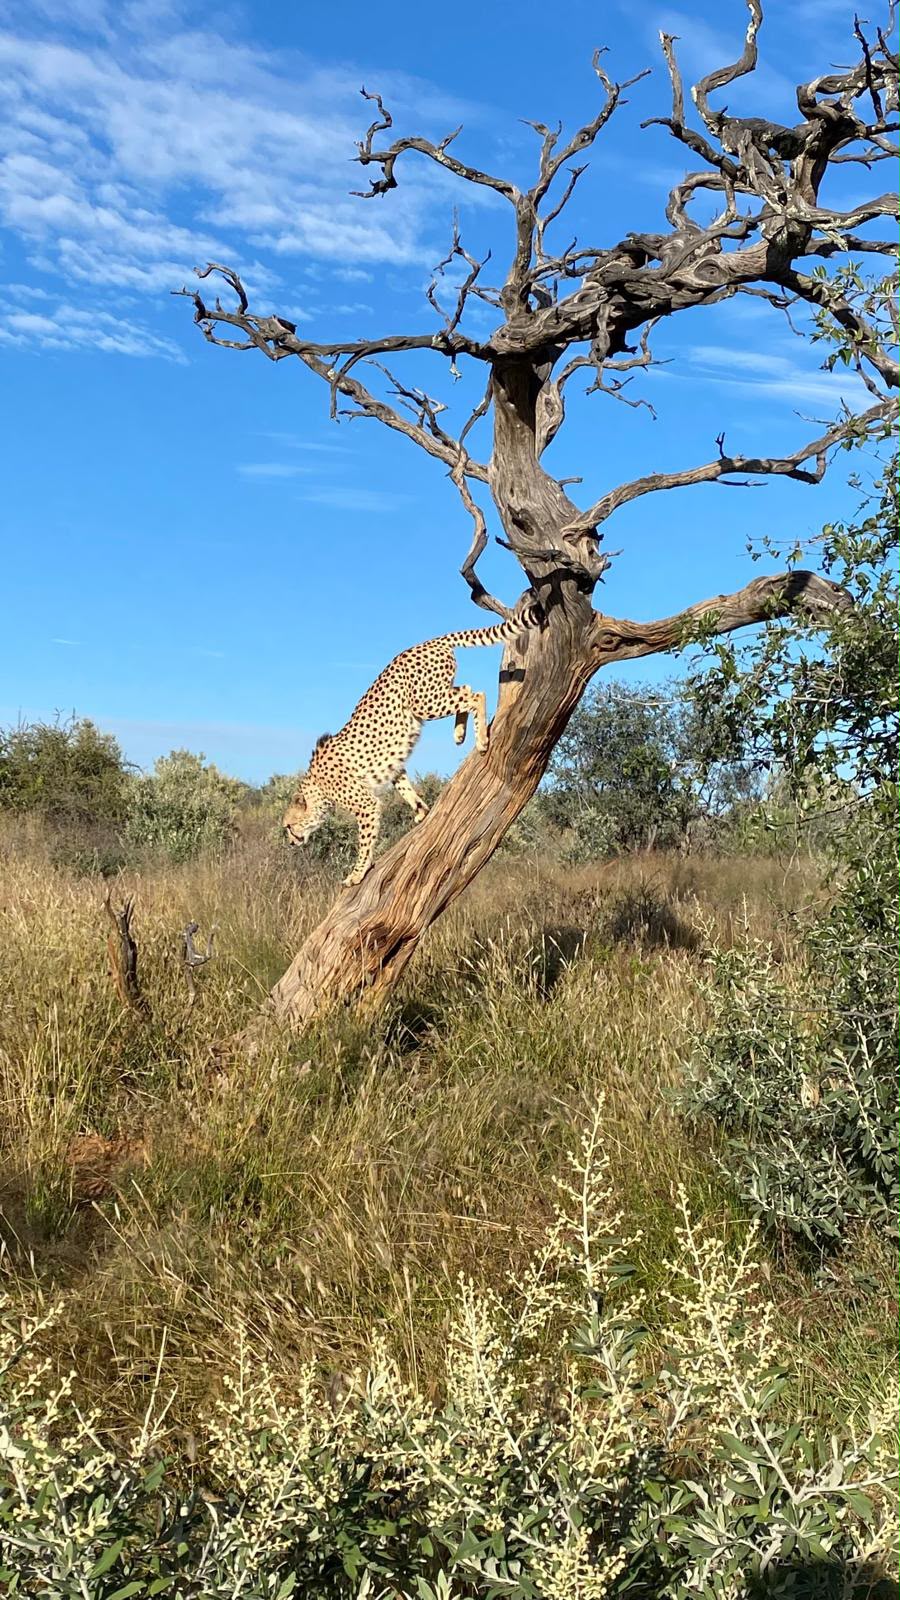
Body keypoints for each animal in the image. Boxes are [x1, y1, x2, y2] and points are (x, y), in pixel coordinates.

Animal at [283, 602, 543, 885]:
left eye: (288, 826)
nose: (290, 842)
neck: (317, 788)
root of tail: (428, 641)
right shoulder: (392, 766)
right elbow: (403, 785)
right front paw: (420, 810)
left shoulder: (365, 805)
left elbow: (364, 841)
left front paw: (357, 873)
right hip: (434, 695)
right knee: (465, 689)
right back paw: (459, 733)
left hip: (425, 702)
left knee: (475, 694)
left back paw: (481, 739)